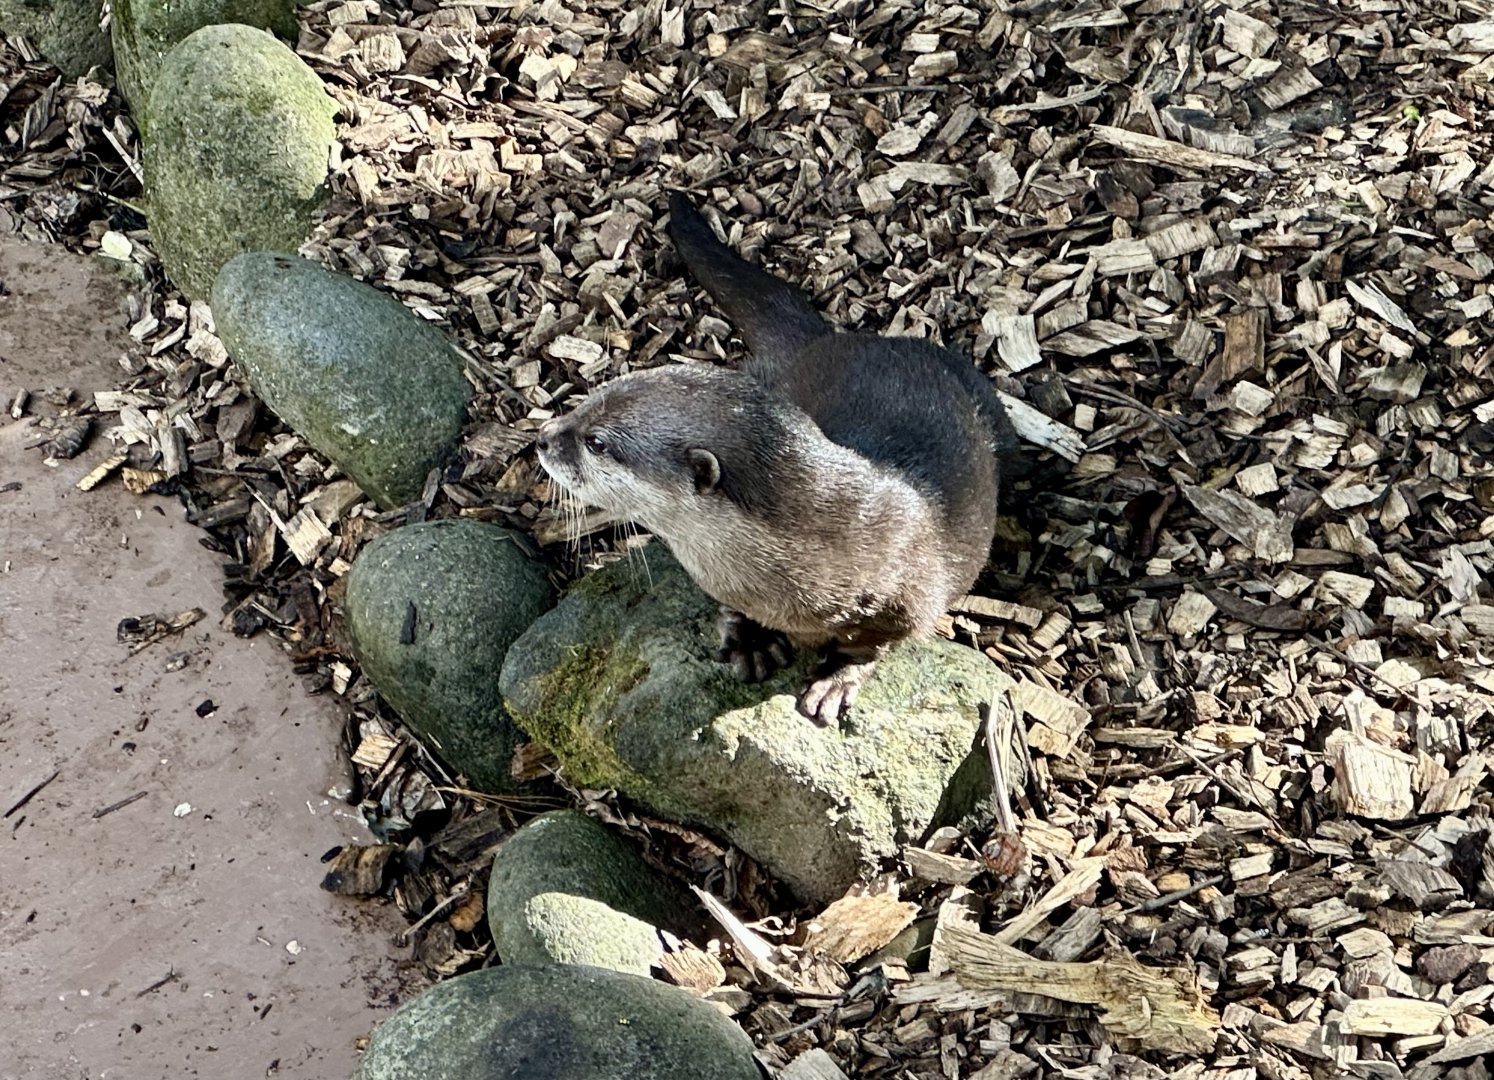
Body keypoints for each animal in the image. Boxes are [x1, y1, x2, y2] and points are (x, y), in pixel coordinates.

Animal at [535, 193, 1015, 724]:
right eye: (586, 401)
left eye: (597, 442)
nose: (543, 437)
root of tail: (827, 339)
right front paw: (751, 640)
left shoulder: (911, 599)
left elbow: (872, 647)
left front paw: (835, 681)